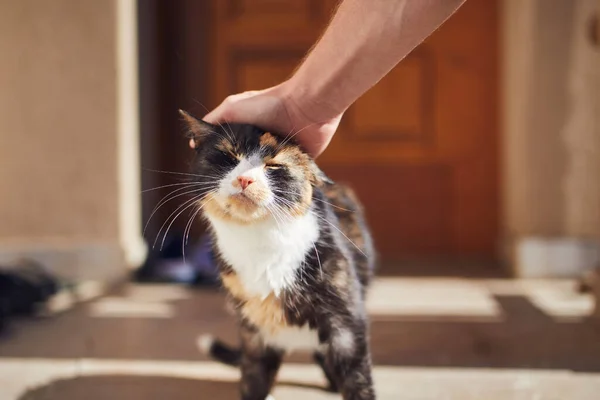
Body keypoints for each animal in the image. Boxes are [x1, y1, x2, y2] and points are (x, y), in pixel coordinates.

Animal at [178, 110, 376, 400]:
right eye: (229, 156)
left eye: (273, 166)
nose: (245, 179)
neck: (260, 241)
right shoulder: (253, 329)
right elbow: (254, 378)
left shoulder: (346, 324)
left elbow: (357, 378)